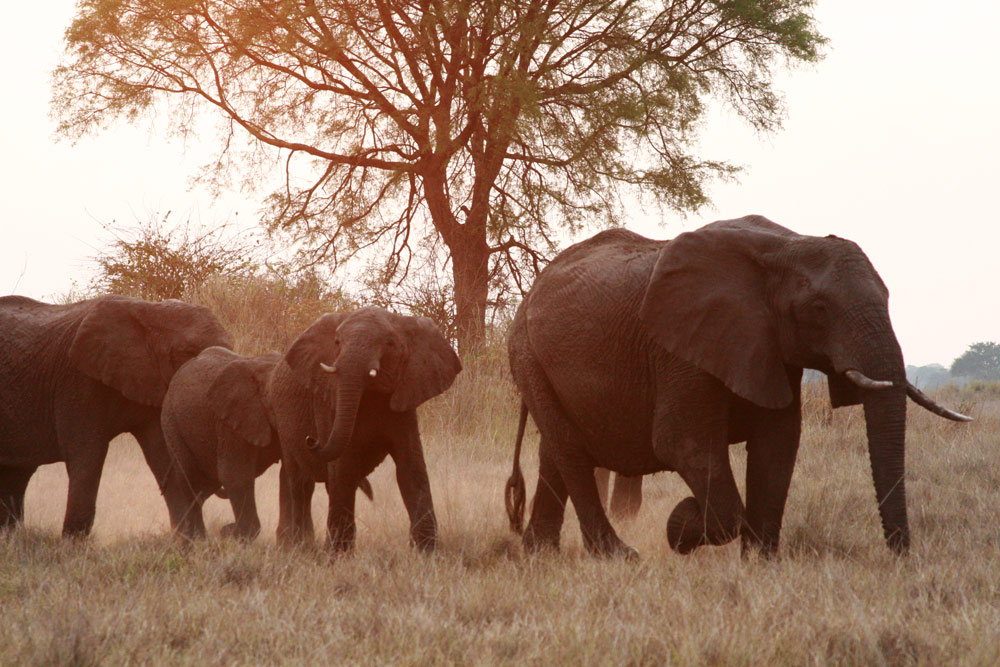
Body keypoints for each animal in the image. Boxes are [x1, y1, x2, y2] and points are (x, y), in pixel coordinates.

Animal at [0, 294, 231, 536]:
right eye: (187, 351)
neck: (149, 310)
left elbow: (164, 455)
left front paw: (191, 540)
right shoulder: (77, 381)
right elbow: (87, 455)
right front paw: (73, 542)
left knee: (15, 476)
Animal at [268, 306, 461, 552]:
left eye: (389, 343)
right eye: (337, 342)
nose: (312, 439)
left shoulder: (405, 397)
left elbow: (411, 467)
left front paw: (427, 552)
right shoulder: (327, 400)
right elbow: (343, 467)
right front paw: (338, 555)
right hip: (282, 418)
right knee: (300, 482)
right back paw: (299, 545)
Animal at [504, 216, 971, 558]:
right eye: (819, 309)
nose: (901, 558)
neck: (785, 245)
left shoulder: (769, 345)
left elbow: (777, 443)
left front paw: (760, 564)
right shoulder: (680, 349)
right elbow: (683, 443)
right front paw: (680, 526)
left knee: (556, 451)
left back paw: (539, 554)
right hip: (526, 353)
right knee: (569, 449)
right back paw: (618, 556)